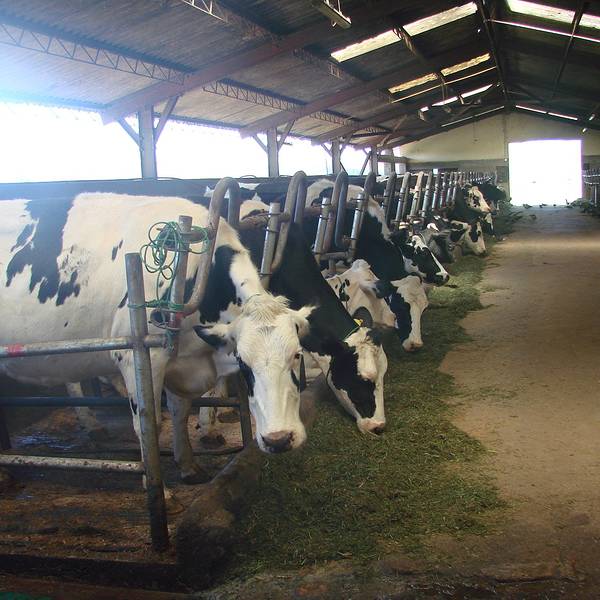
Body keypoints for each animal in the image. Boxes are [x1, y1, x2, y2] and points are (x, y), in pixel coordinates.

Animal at [0, 193, 315, 483]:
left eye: (297, 354)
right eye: (243, 362)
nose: (279, 439)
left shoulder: (179, 358)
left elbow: (180, 410)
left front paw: (188, 465)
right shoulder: (137, 355)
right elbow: (147, 426)